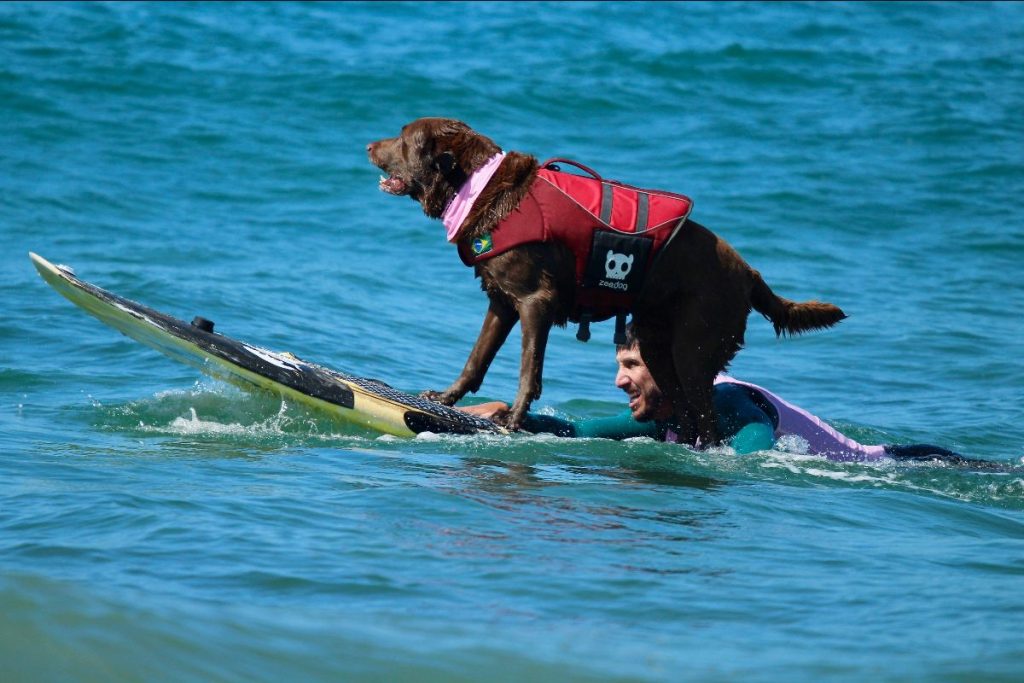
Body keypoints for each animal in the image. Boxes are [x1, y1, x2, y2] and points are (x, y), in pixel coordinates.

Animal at [364, 117, 843, 446]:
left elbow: (528, 368)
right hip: (659, 344)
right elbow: (476, 359)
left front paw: (514, 419)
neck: (480, 188)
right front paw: (445, 399)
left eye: (403, 137)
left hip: (693, 348)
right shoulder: (500, 302)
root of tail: (749, 272)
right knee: (686, 415)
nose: (368, 144)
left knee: (704, 420)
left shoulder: (536, 301)